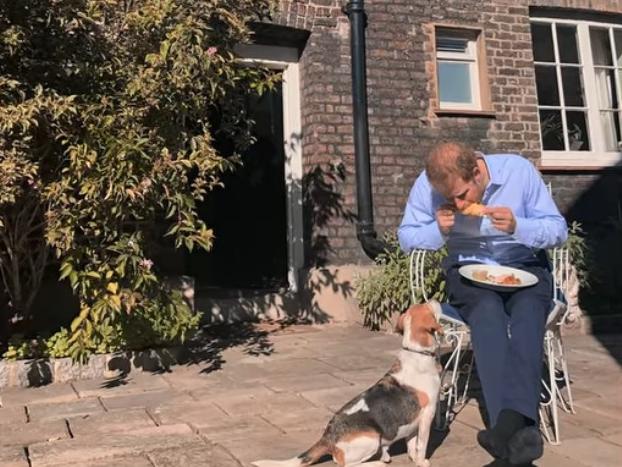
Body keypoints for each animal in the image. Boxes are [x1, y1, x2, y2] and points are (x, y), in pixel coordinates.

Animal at [254, 302, 444, 466]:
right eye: (428, 305)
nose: (435, 300)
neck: (417, 353)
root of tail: (328, 437)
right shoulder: (428, 415)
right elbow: (422, 445)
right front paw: (422, 462)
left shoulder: (413, 421)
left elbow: (412, 443)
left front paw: (413, 459)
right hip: (372, 438)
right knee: (346, 464)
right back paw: (378, 462)